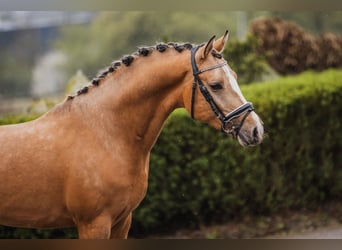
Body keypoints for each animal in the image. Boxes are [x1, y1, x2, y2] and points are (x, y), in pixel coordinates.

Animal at [0, 31, 264, 238]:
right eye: (216, 85)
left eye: (236, 77)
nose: (256, 129)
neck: (105, 134)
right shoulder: (93, 224)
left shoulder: (122, 221)